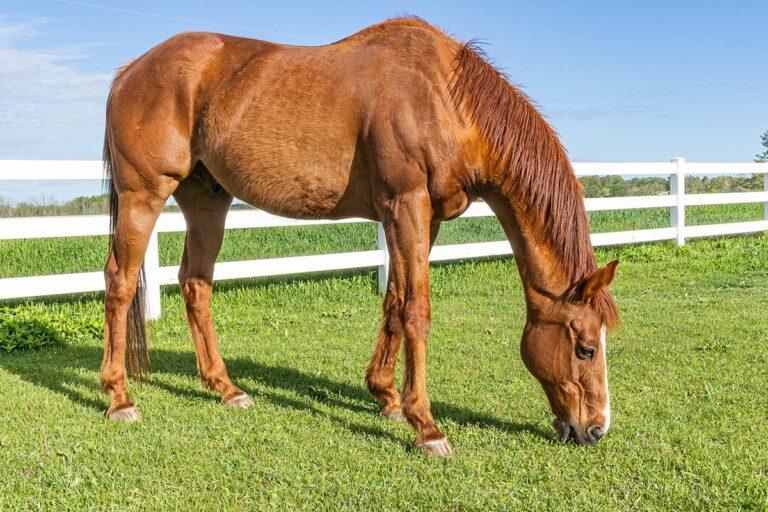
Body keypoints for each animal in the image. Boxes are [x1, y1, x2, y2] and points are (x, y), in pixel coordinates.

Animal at [101, 17, 619, 456]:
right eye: (586, 348)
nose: (595, 429)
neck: (444, 98)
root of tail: (130, 71)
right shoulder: (406, 205)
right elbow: (417, 312)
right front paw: (426, 426)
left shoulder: (421, 218)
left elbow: (394, 301)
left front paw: (386, 397)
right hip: (143, 196)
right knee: (120, 282)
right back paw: (119, 398)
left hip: (206, 203)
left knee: (196, 284)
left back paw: (225, 388)